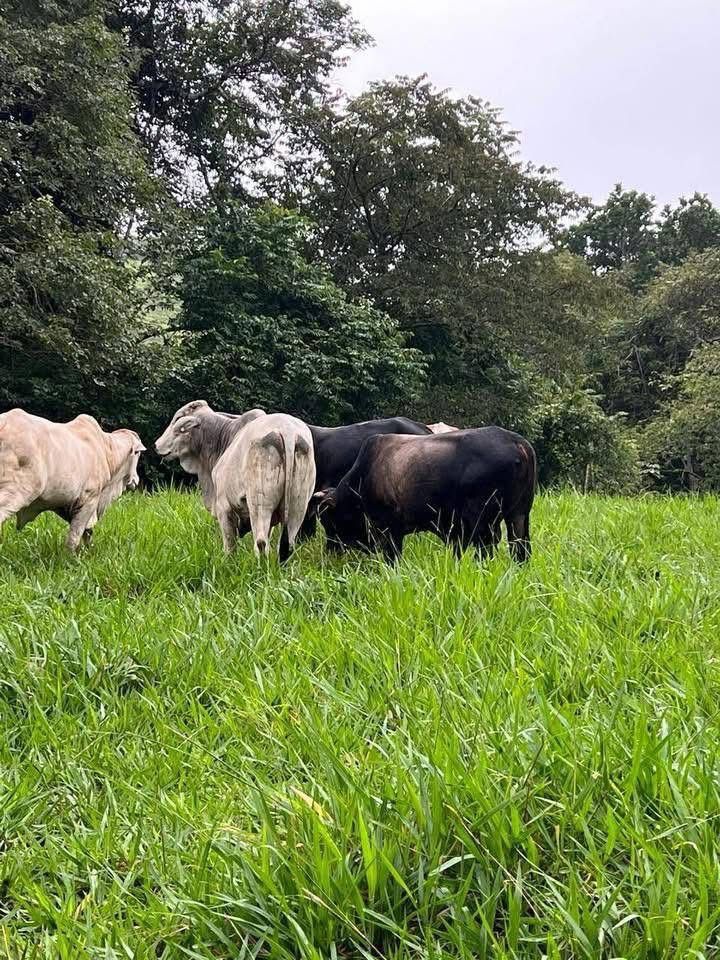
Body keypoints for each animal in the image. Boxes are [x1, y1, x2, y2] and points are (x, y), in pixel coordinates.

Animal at [0, 408, 145, 551]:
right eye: (137, 453)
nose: (136, 480)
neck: (107, 450)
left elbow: (87, 532)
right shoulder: (90, 499)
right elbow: (74, 537)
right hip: (17, 491)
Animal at [154, 400, 316, 561]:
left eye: (177, 419)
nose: (156, 445)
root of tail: (288, 432)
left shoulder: (223, 507)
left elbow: (229, 546)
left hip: (259, 503)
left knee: (261, 542)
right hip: (298, 505)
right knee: (287, 544)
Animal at [313, 426, 536, 564]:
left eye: (328, 518)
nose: (330, 550)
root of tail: (516, 441)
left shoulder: (389, 528)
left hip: (482, 521)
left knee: (486, 550)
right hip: (519, 515)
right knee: (520, 550)